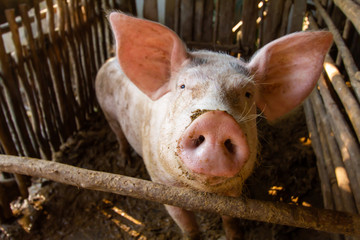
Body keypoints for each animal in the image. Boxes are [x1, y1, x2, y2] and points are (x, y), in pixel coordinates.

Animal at [95, 12, 332, 240]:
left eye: (248, 94)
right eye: (182, 86)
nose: (216, 121)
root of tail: (110, 59)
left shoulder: (234, 190)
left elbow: (230, 218)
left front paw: (236, 236)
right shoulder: (161, 184)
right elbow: (187, 225)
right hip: (108, 112)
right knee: (119, 135)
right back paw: (125, 161)